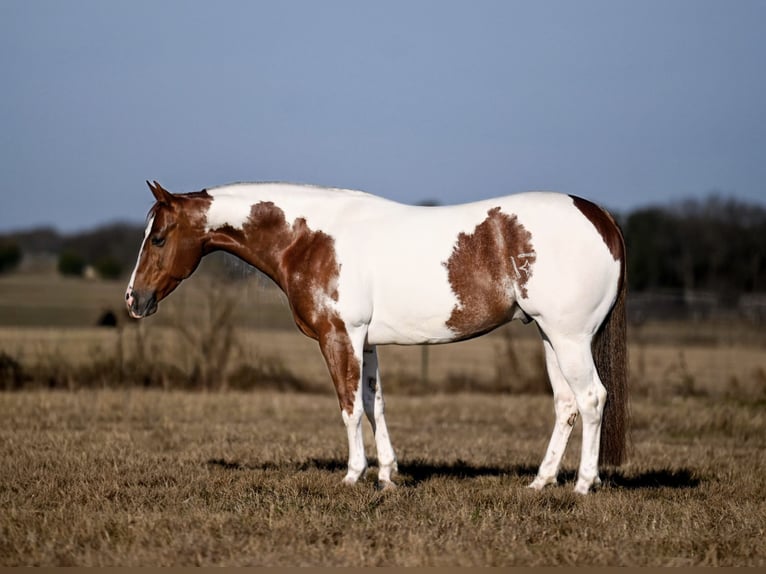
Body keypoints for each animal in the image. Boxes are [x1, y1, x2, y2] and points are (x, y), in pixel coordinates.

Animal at [126, 180, 628, 494]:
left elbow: (348, 407)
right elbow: (374, 404)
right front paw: (387, 475)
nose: (134, 299)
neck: (310, 238)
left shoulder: (339, 336)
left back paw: (584, 484)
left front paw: (354, 475)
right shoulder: (366, 343)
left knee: (592, 398)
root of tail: (599, 215)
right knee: (566, 405)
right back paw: (541, 483)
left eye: (159, 237)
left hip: (569, 338)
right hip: (550, 337)